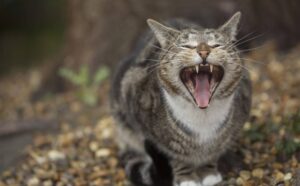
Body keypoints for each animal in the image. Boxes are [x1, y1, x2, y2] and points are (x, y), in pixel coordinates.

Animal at [110, 12, 251, 186]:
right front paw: (186, 178)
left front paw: (209, 174)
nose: (204, 52)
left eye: (216, 45)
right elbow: (175, 155)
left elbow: (213, 152)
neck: (203, 116)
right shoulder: (157, 135)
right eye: (187, 46)